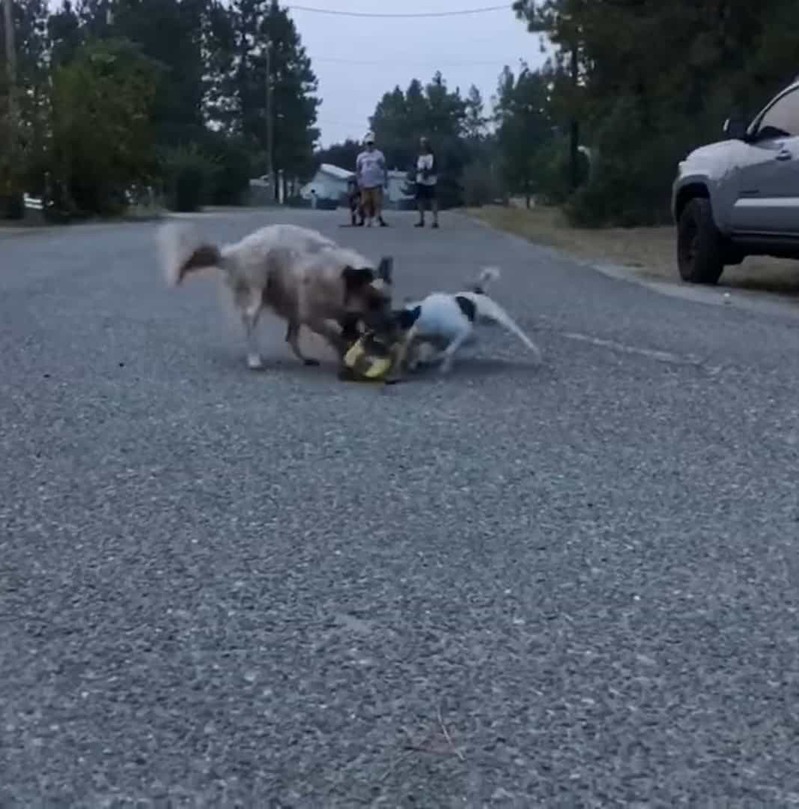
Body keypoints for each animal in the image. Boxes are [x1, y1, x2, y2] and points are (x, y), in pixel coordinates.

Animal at [156, 223, 394, 370]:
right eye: (373, 302)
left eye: (387, 301)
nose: (395, 324)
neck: (339, 277)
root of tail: (231, 252)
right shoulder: (311, 314)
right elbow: (334, 335)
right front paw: (345, 351)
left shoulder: (339, 315)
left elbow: (346, 332)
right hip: (256, 292)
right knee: (252, 323)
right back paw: (254, 360)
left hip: (287, 300)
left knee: (291, 337)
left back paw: (304, 359)